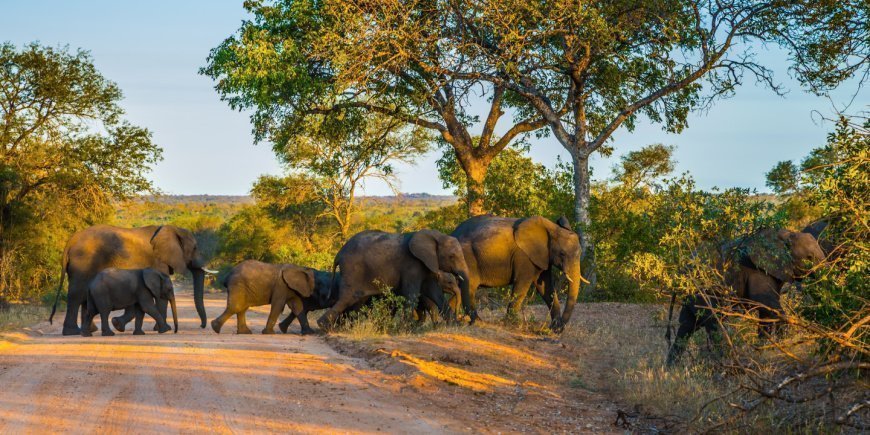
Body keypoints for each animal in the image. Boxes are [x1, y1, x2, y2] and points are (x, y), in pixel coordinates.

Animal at [49, 224, 215, 336]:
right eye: (195, 248)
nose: (202, 326)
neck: (172, 229)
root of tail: (70, 242)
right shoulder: (158, 262)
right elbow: (160, 298)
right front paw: (162, 329)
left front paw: (118, 324)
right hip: (83, 262)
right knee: (77, 295)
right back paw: (72, 332)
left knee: (84, 297)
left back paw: (89, 330)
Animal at [317, 229, 472, 330]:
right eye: (452, 256)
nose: (463, 320)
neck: (436, 236)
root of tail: (338, 254)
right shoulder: (412, 265)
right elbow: (412, 294)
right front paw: (406, 328)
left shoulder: (427, 264)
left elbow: (435, 292)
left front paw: (454, 325)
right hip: (352, 270)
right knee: (348, 298)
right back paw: (324, 326)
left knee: (356, 300)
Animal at [450, 215, 585, 331]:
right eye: (562, 254)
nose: (558, 329)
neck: (552, 228)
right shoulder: (524, 256)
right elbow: (522, 285)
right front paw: (511, 324)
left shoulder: (543, 257)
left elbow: (546, 288)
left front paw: (555, 328)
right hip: (467, 259)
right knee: (469, 287)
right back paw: (478, 321)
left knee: (457, 289)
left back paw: (450, 319)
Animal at [666, 228, 826, 366]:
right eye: (809, 258)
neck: (786, 234)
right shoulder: (757, 268)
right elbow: (765, 301)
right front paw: (785, 342)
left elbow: (765, 311)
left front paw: (763, 349)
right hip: (702, 290)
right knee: (713, 321)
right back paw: (725, 361)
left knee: (687, 325)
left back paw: (672, 370)